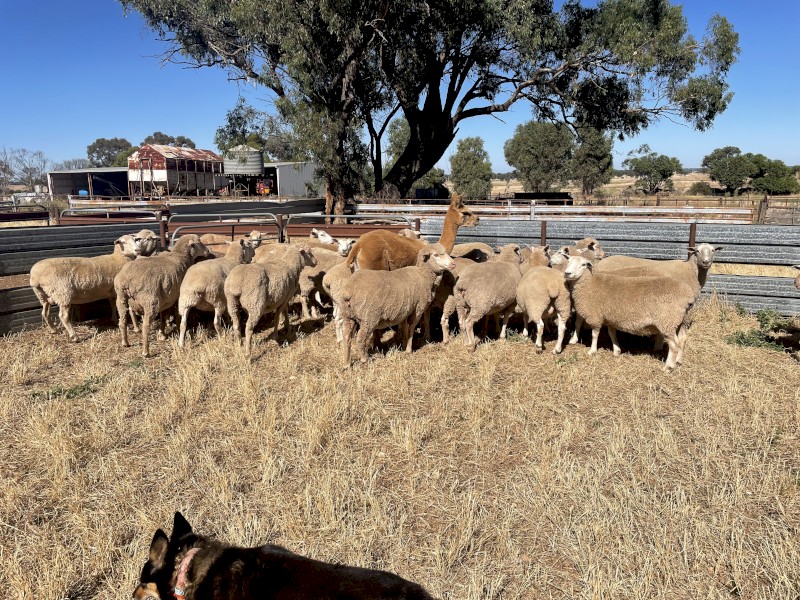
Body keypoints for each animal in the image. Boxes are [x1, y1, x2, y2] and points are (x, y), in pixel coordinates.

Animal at [563, 255, 696, 371]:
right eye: (568, 261)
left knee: (674, 345)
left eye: (583, 264)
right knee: (682, 340)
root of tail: (688, 295)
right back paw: (678, 361)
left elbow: (594, 334)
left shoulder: (595, 316)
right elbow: (612, 334)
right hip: (680, 320)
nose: (567, 273)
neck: (590, 283)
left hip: (666, 320)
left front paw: (592, 351)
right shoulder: (611, 317)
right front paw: (617, 351)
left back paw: (668, 367)